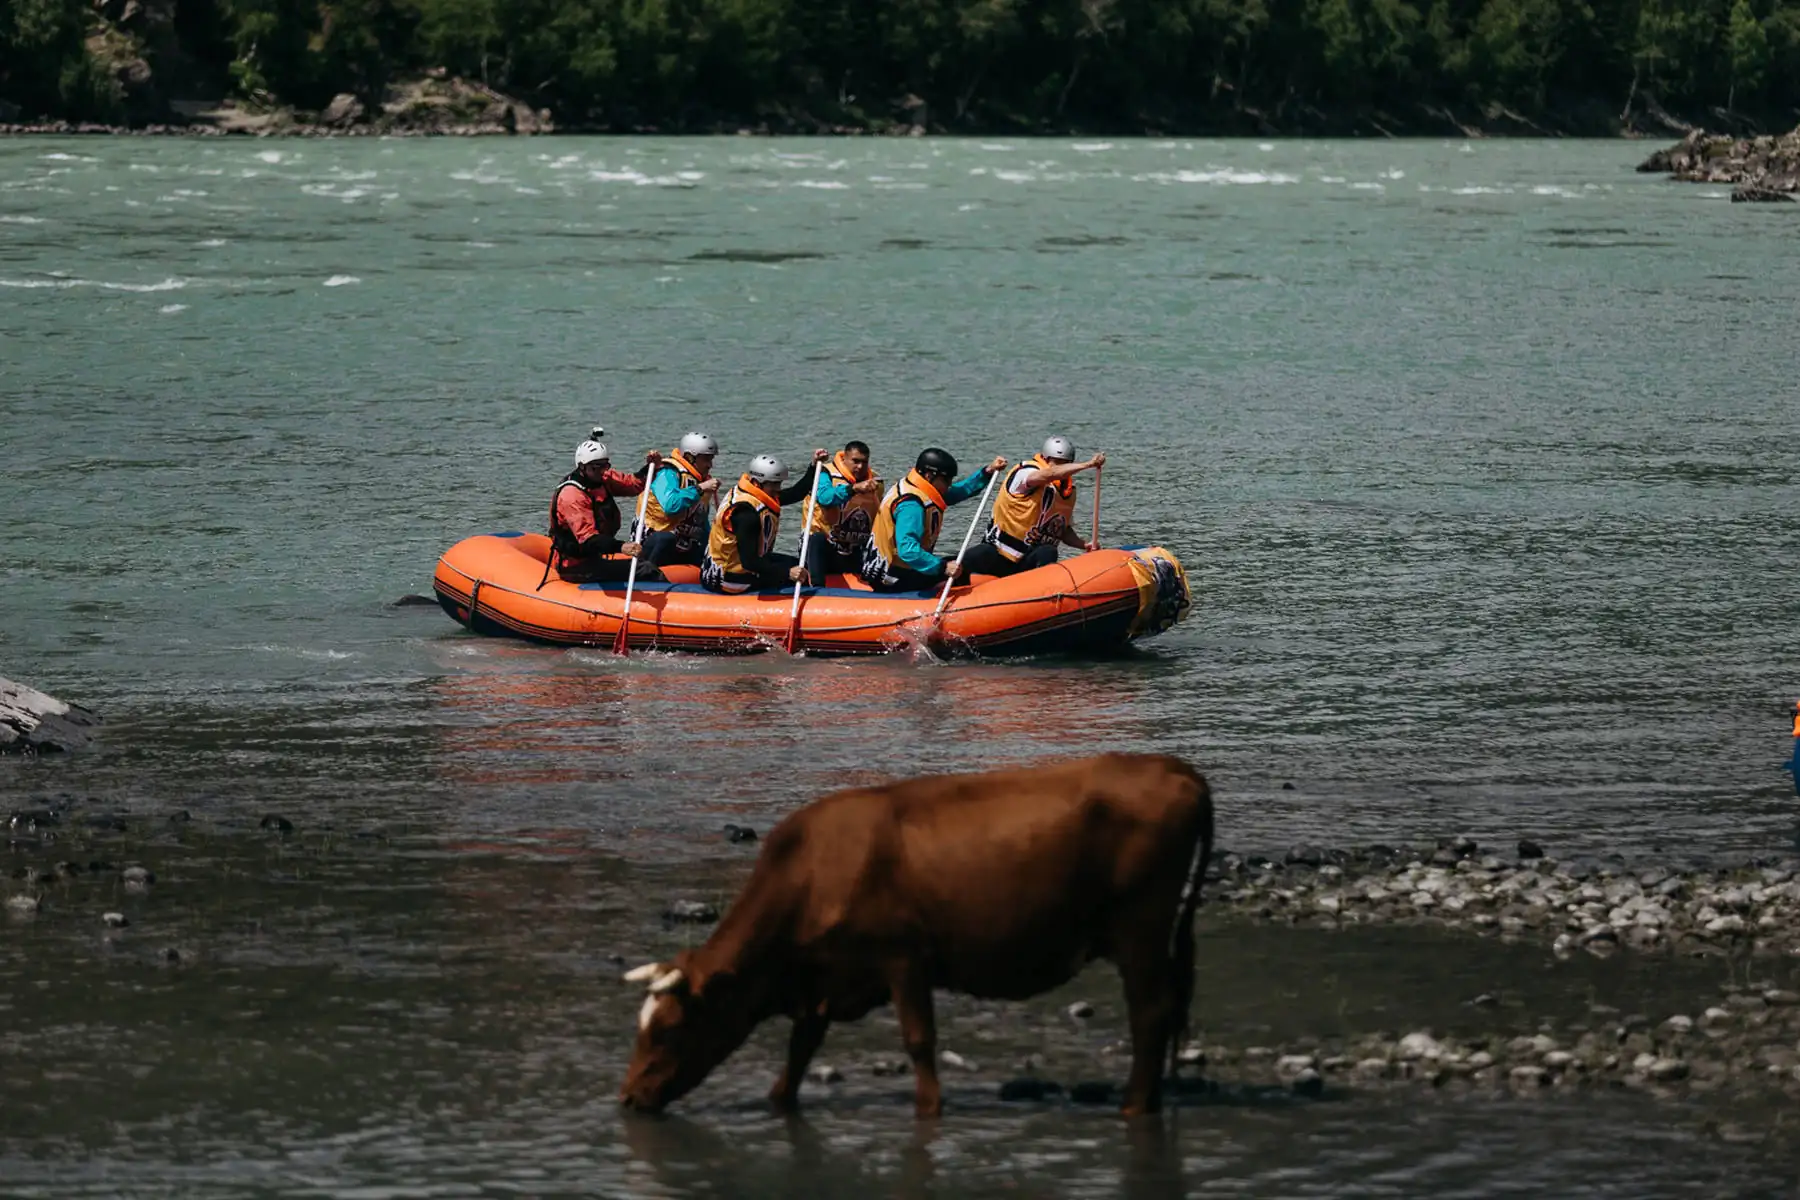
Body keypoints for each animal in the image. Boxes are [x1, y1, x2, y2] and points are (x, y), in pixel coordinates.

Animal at [615, 755, 1209, 1122]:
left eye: (667, 1029)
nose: (628, 1097)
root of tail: (1173, 768)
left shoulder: (903, 956)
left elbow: (919, 1041)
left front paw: (929, 1111)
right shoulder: (823, 977)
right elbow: (800, 1051)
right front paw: (779, 1102)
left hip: (1141, 927)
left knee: (1150, 1014)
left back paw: (1133, 1106)